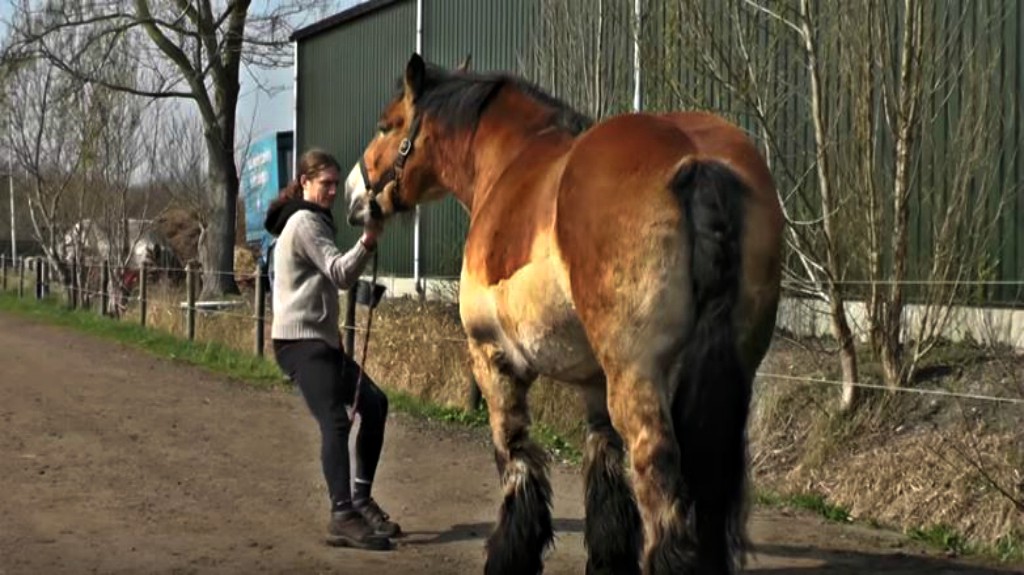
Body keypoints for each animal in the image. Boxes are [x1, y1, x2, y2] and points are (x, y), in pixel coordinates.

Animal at [344, 53, 783, 575]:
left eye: (385, 125)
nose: (353, 197)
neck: (509, 164)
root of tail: (698, 159)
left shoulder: (492, 357)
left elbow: (515, 453)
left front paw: (511, 554)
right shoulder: (595, 380)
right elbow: (603, 461)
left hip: (637, 375)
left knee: (658, 473)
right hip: (727, 372)